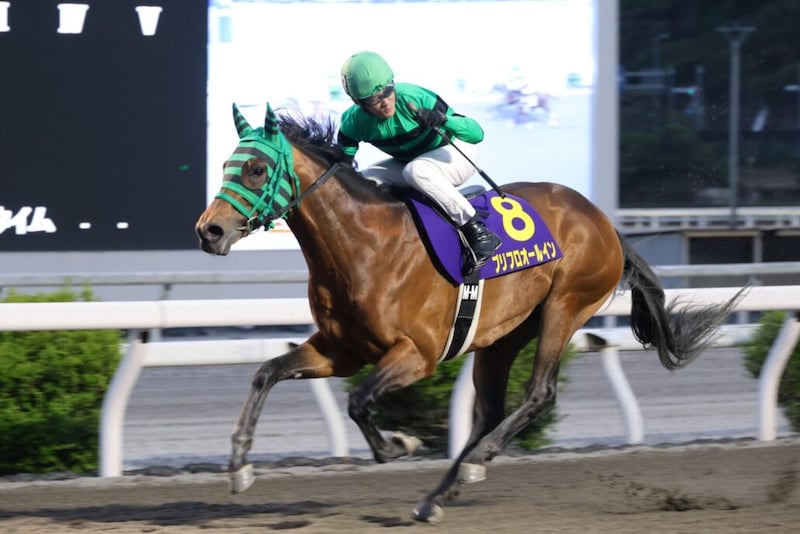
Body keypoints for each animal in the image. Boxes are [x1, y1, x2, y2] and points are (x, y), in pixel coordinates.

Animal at [195, 103, 743, 523]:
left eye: (257, 169)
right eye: (226, 164)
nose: (209, 231)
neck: (363, 246)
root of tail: (603, 220)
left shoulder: (417, 355)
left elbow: (359, 402)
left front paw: (400, 443)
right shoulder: (339, 350)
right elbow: (267, 373)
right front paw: (240, 466)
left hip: (564, 307)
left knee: (539, 394)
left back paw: (476, 462)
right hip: (504, 335)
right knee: (490, 411)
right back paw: (440, 495)